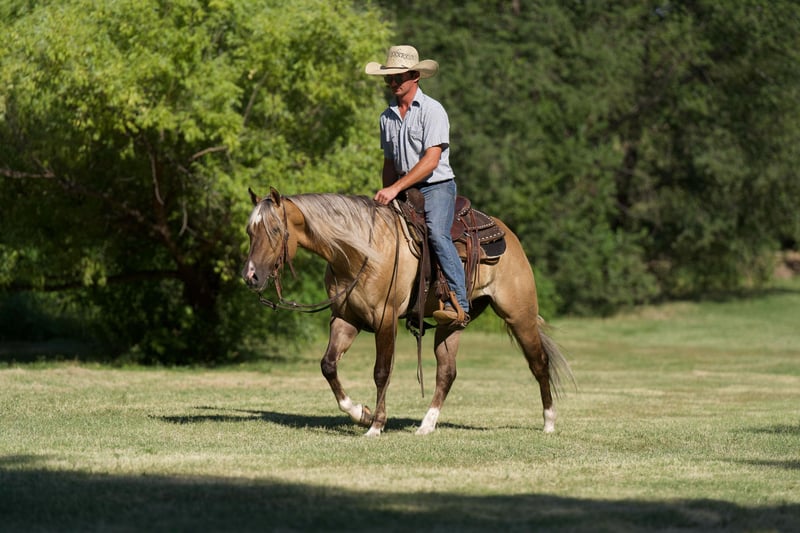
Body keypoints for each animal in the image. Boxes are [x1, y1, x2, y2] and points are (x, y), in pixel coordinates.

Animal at [242, 187, 573, 437]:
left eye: (275, 229)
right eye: (249, 231)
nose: (250, 276)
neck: (360, 252)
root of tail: (506, 234)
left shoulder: (385, 319)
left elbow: (381, 372)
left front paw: (375, 425)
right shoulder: (346, 319)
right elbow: (328, 365)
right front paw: (361, 413)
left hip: (519, 315)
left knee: (539, 363)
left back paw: (549, 422)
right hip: (452, 324)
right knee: (447, 372)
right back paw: (426, 426)